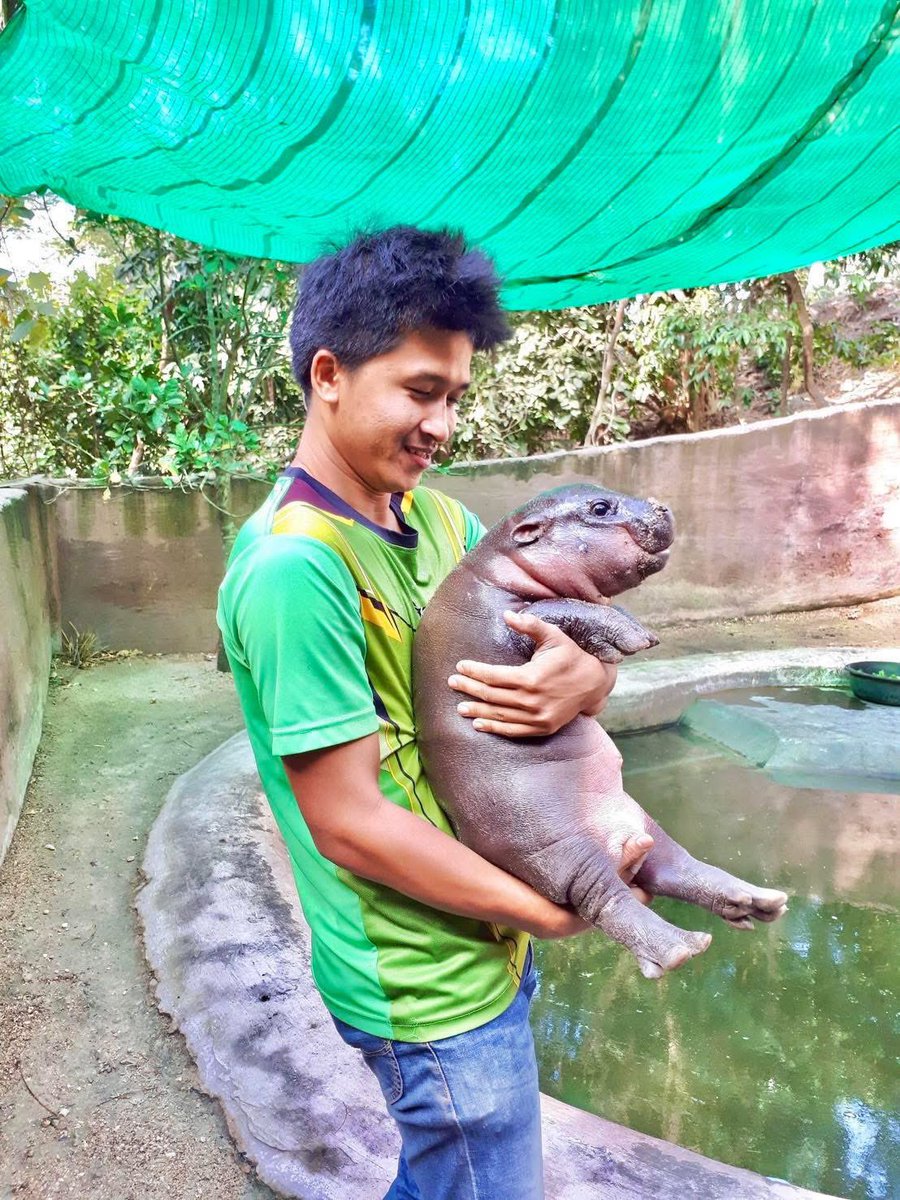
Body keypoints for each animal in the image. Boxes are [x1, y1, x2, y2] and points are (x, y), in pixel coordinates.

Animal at [413, 485, 788, 978]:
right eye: (600, 508)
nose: (663, 506)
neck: (499, 565)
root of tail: (615, 839)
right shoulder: (503, 624)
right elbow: (558, 606)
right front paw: (636, 637)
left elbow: (575, 604)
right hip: (564, 857)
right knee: (609, 900)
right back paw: (682, 947)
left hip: (642, 829)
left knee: (679, 868)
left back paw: (761, 902)